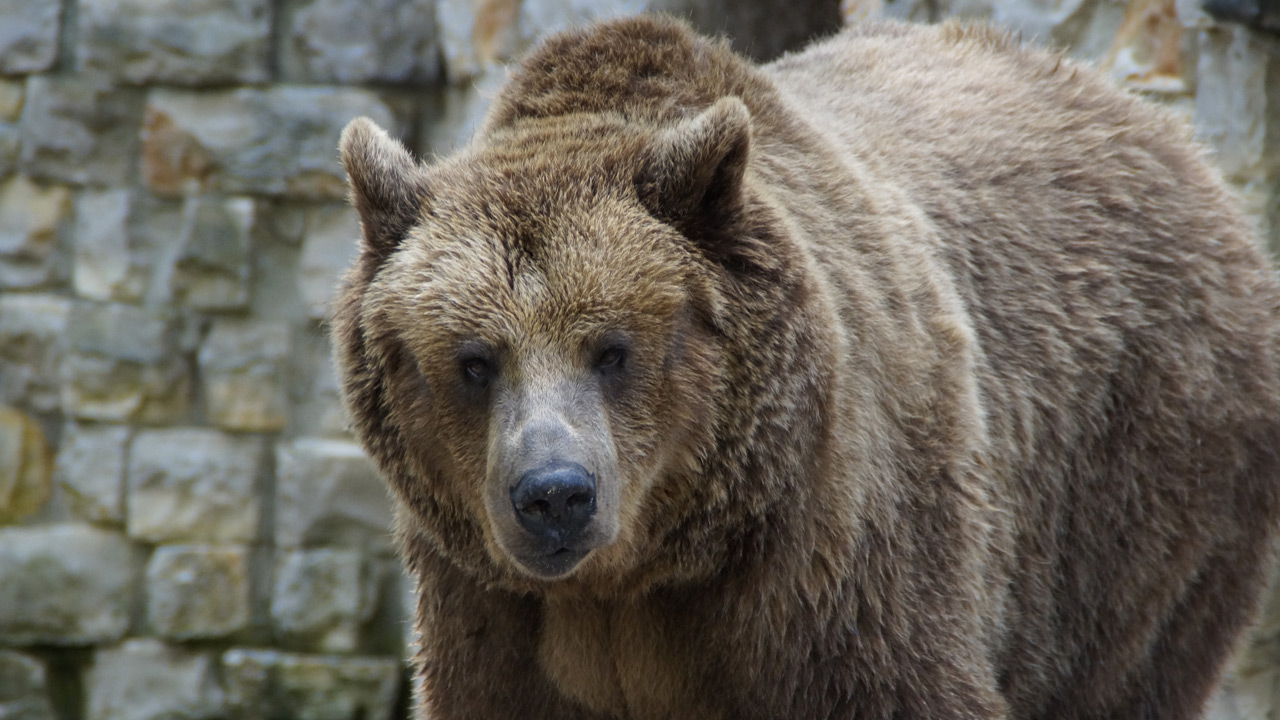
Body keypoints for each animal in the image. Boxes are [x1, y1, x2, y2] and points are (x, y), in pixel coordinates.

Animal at [327, 14, 1280, 717]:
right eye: (474, 360)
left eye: (613, 348)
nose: (555, 494)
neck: (643, 577)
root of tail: (1171, 138)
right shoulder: (493, 611)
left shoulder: (838, 575)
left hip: (1138, 484)